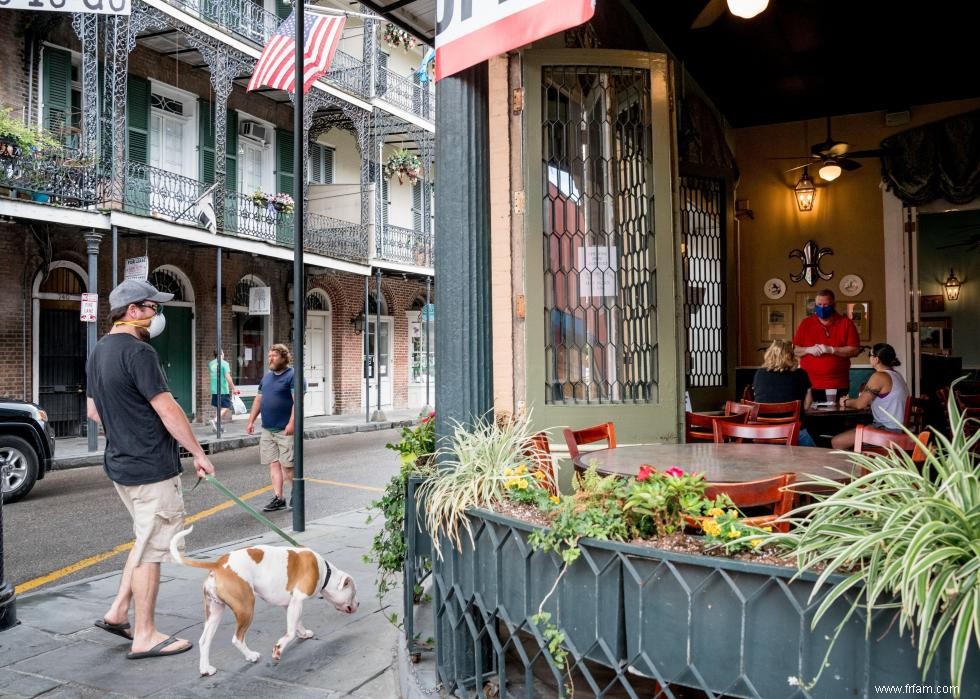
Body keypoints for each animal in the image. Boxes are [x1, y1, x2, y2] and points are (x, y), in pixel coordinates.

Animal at [170, 528, 358, 676]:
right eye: (354, 593)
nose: (358, 604)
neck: (324, 571)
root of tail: (218, 565)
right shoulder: (298, 600)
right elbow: (290, 631)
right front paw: (279, 648)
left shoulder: (291, 604)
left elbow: (297, 622)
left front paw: (303, 633)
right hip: (246, 608)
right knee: (237, 638)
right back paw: (251, 656)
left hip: (214, 611)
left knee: (204, 641)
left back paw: (206, 669)